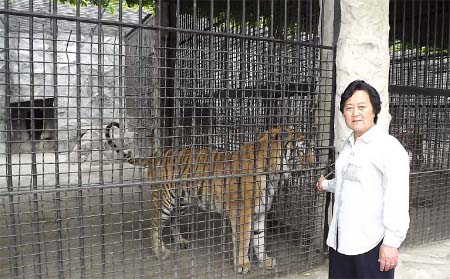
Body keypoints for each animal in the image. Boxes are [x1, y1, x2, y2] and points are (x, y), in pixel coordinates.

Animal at [107, 123, 314, 276]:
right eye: (301, 151)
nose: (314, 165)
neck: (274, 173)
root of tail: (155, 155)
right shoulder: (242, 213)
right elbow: (243, 239)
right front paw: (242, 265)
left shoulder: (260, 212)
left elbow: (259, 240)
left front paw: (265, 261)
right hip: (164, 200)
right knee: (155, 225)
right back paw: (160, 252)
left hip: (181, 201)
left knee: (174, 221)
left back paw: (180, 241)